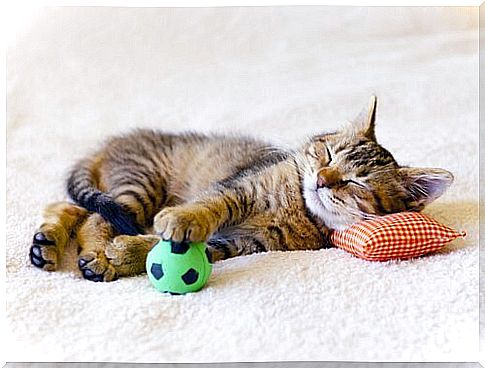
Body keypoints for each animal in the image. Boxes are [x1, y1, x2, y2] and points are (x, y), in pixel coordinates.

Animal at [31, 95, 454, 282]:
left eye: (356, 183)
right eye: (328, 153)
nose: (321, 179)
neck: (298, 206)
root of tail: (107, 146)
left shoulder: (244, 244)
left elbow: (176, 247)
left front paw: (128, 255)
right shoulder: (238, 189)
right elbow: (203, 210)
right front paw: (178, 222)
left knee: (74, 210)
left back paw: (51, 246)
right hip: (139, 187)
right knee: (90, 215)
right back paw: (76, 249)